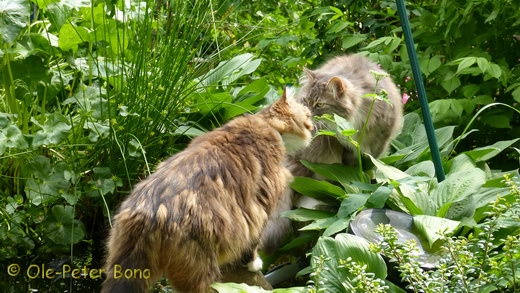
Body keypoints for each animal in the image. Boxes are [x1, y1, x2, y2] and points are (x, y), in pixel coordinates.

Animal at [101, 90, 312, 290]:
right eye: (307, 114)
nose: (313, 124)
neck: (266, 125)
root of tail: (148, 214)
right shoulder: (260, 207)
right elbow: (252, 244)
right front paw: (254, 263)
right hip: (200, 269)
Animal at [260, 53, 402, 252]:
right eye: (305, 101)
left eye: (319, 104)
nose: (307, 114)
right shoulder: (342, 147)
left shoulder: (376, 145)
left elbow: (367, 169)